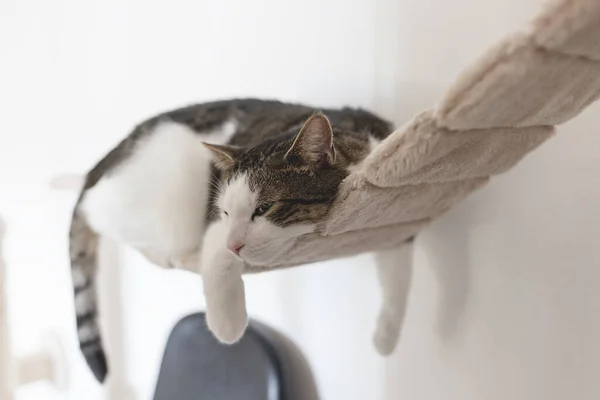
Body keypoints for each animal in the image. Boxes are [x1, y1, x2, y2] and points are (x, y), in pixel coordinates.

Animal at [68, 98, 414, 382]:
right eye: (224, 212)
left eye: (263, 209)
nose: (234, 244)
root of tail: (100, 165)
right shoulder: (215, 228)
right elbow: (218, 265)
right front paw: (227, 325)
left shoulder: (392, 208)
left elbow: (399, 268)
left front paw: (386, 339)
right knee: (106, 218)